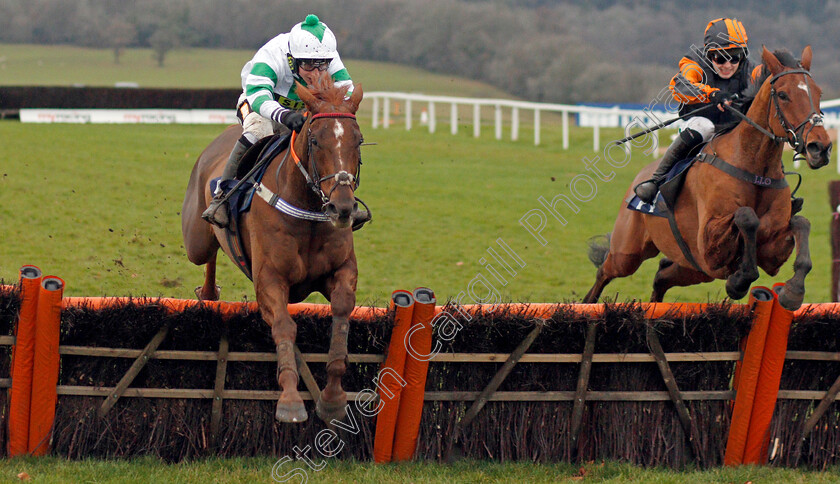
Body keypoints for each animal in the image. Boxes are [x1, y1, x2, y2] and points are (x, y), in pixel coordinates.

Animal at [182, 73, 366, 424]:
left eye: (358, 141)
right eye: (315, 140)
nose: (342, 208)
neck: (306, 209)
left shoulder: (342, 269)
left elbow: (342, 312)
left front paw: (333, 396)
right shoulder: (270, 279)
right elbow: (283, 325)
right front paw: (290, 400)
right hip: (195, 240)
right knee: (208, 252)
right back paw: (209, 289)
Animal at [584, 46, 832, 310]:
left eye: (818, 92)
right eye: (783, 95)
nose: (820, 147)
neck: (754, 167)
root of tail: (640, 176)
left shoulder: (771, 252)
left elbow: (801, 223)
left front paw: (793, 292)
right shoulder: (710, 245)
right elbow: (747, 217)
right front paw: (739, 281)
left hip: (694, 269)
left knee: (661, 277)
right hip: (628, 253)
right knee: (604, 272)